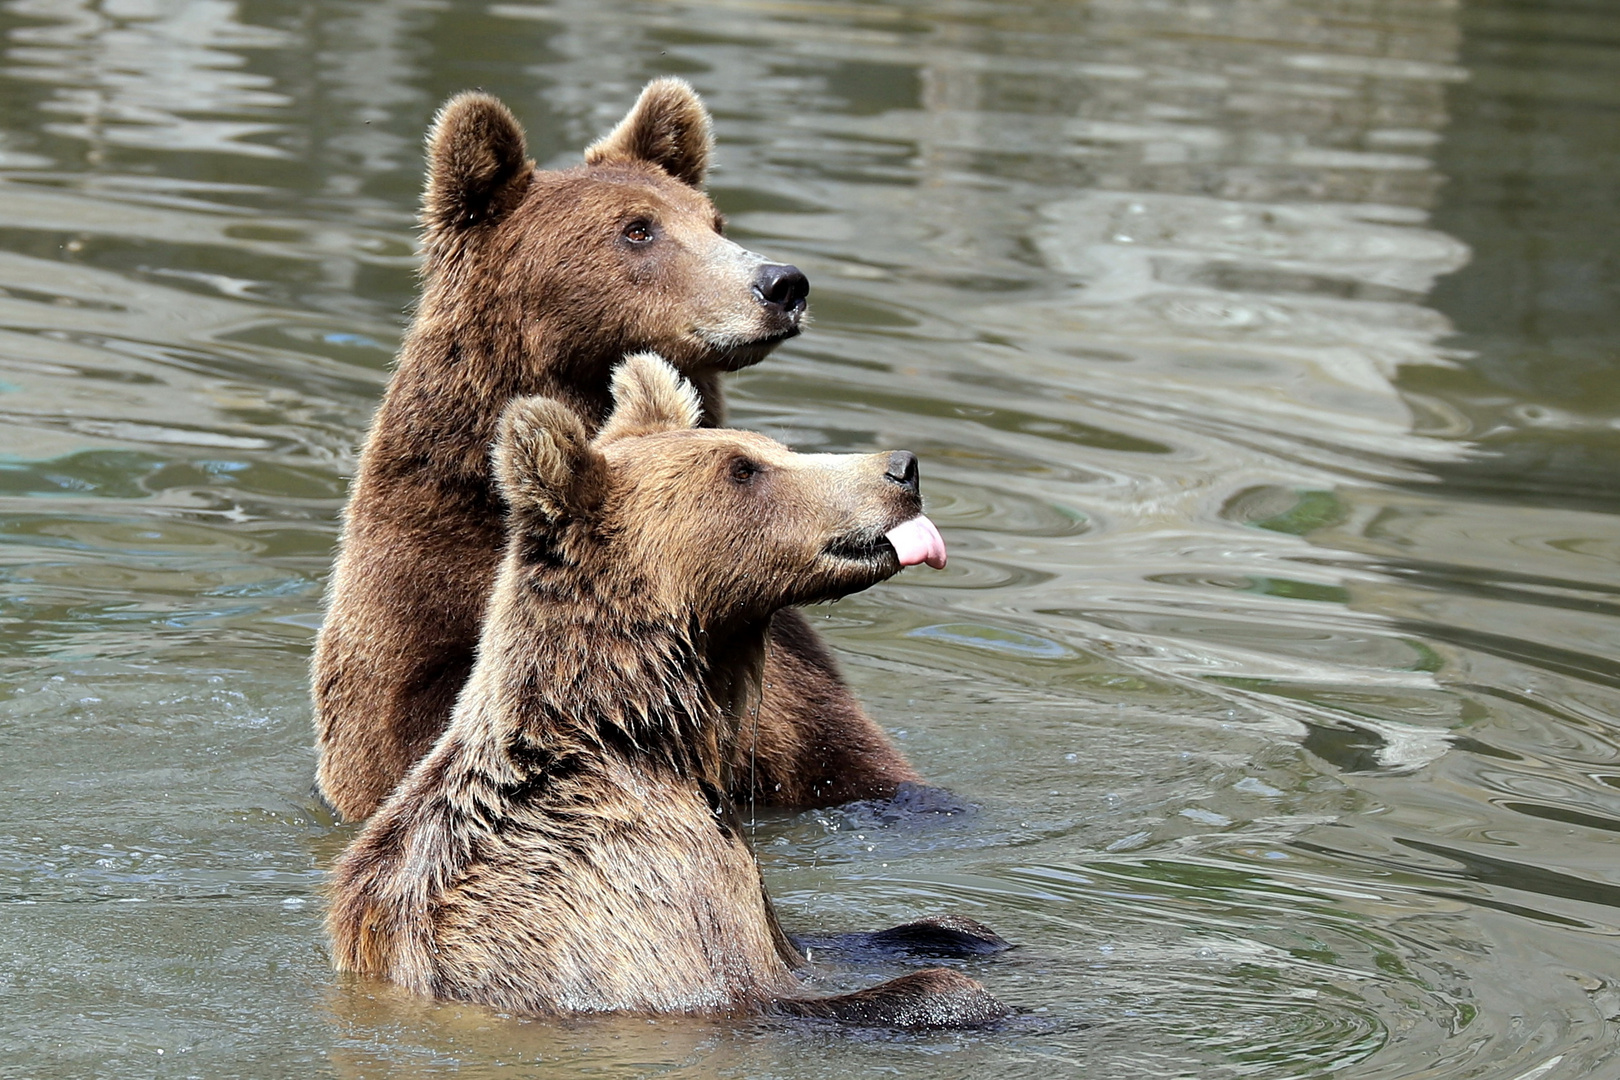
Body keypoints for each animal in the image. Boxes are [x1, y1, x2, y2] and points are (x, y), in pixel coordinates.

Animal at [324, 359, 1004, 1029]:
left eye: (774, 448)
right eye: (744, 470)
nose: (901, 468)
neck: (637, 730)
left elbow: (808, 940)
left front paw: (959, 930)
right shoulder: (614, 899)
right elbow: (756, 993)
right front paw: (959, 995)